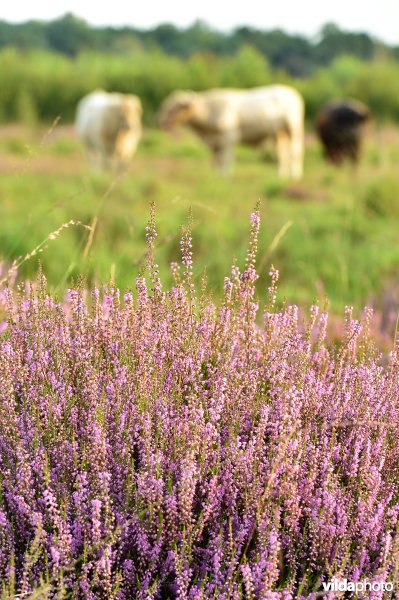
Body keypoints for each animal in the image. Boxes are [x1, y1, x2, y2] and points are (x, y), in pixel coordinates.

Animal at [159, 84, 306, 178]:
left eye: (174, 107)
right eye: (166, 104)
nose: (160, 120)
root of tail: (292, 92)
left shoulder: (228, 138)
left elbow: (226, 159)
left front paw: (225, 175)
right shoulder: (216, 143)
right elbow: (217, 160)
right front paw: (217, 176)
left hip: (294, 127)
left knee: (295, 150)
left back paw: (295, 175)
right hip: (278, 132)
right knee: (282, 152)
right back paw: (280, 174)